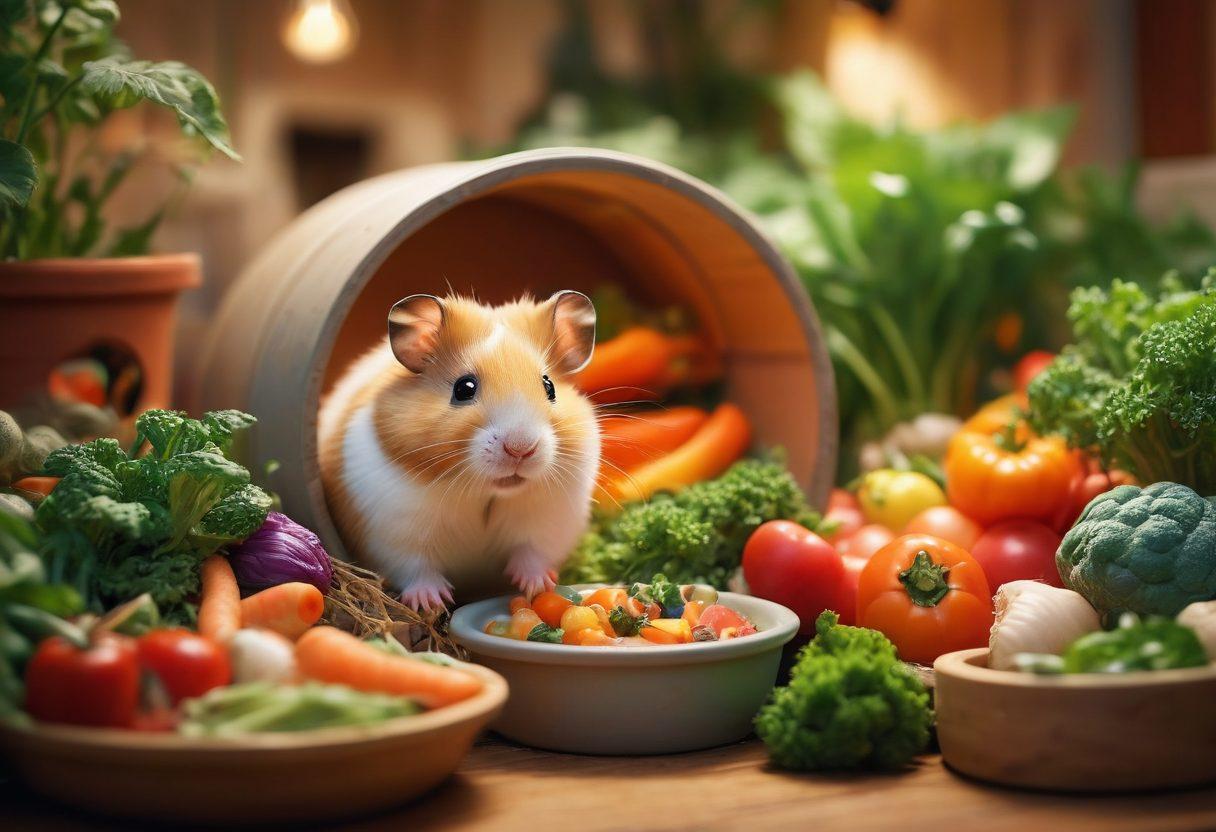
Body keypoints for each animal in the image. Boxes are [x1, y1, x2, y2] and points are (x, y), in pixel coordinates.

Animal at [318, 291, 600, 610]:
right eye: (464, 388)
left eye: (549, 386)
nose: (521, 449)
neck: (486, 493)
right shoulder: (394, 532)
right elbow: (416, 567)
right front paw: (432, 600)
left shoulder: (549, 521)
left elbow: (532, 552)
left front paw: (539, 585)